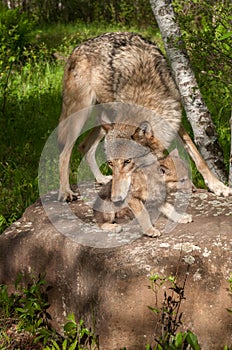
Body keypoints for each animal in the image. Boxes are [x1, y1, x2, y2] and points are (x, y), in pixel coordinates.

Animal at [58, 32, 232, 202]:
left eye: (127, 162)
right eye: (110, 163)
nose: (115, 198)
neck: (145, 91)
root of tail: (77, 48)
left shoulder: (176, 121)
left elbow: (199, 158)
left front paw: (219, 187)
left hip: (103, 121)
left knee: (84, 146)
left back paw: (100, 179)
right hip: (81, 115)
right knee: (64, 153)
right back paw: (66, 192)